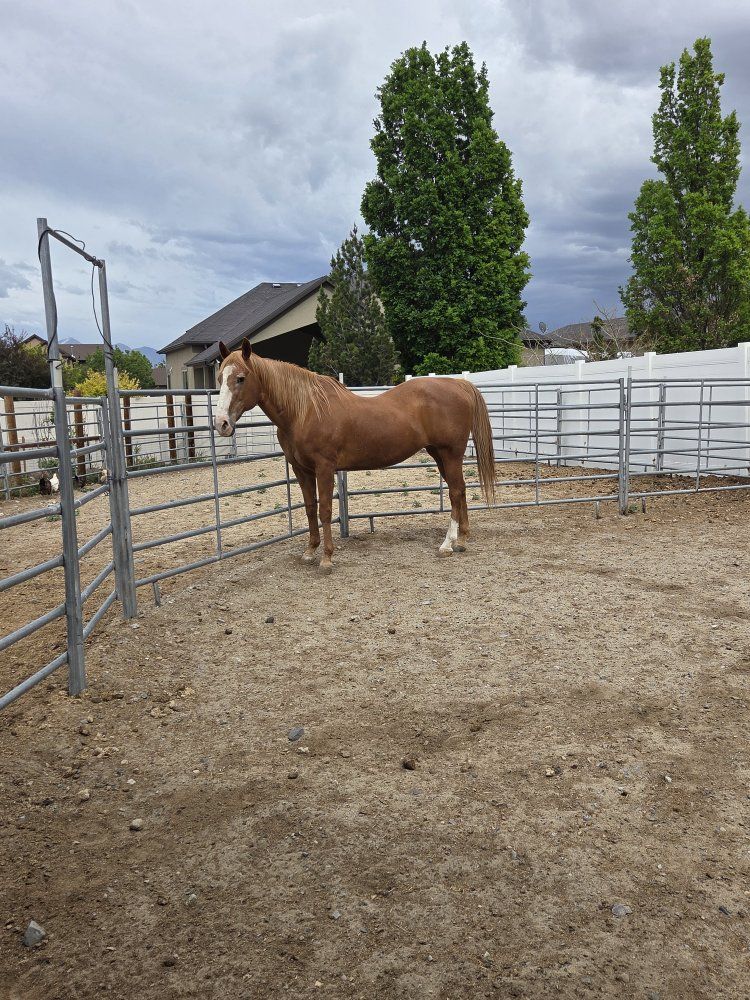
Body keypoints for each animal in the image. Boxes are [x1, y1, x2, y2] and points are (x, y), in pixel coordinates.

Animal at [214, 339, 496, 572]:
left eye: (240, 378)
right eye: (219, 378)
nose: (221, 424)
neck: (305, 411)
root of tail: (459, 384)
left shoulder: (324, 468)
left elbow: (325, 510)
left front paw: (326, 559)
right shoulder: (301, 469)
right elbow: (310, 508)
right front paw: (310, 551)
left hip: (450, 454)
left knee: (455, 492)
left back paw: (447, 544)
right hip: (439, 455)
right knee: (460, 490)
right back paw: (462, 539)